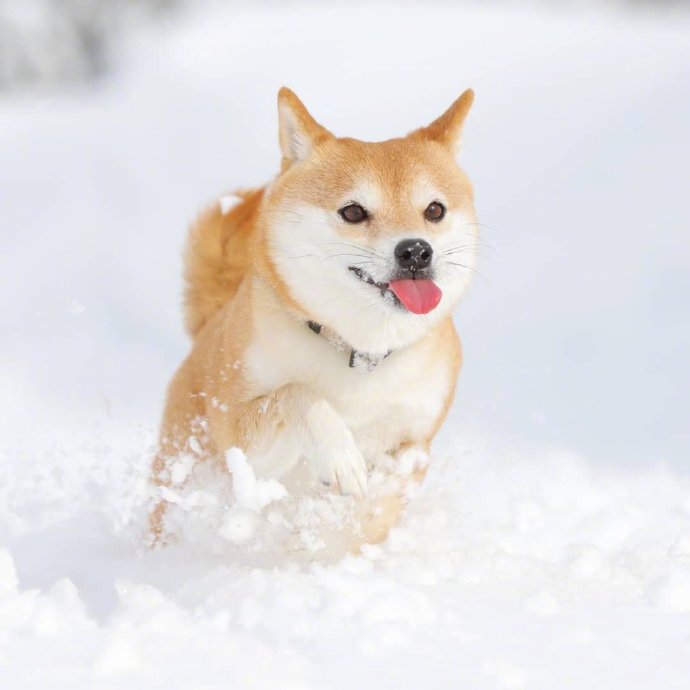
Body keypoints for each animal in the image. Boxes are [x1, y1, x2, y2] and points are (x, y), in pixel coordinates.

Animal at [148, 87, 476, 548]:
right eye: (353, 212)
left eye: (434, 210)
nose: (415, 251)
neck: (359, 353)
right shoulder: (239, 446)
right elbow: (299, 393)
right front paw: (340, 457)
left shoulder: (417, 435)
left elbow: (396, 479)